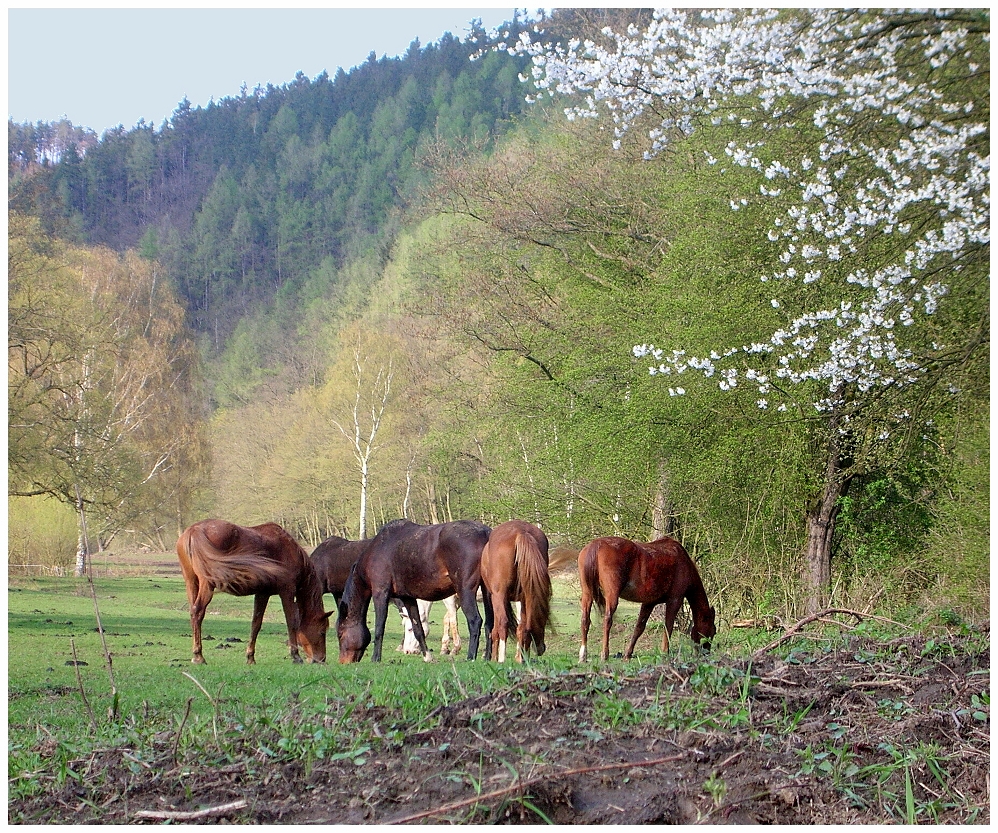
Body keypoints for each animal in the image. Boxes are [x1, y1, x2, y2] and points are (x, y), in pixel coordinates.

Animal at [177, 516, 332, 668]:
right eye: (322, 631)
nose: (321, 659)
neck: (290, 550)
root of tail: (194, 530)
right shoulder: (287, 592)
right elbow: (291, 622)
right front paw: (296, 656)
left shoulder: (262, 594)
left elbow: (256, 624)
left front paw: (250, 657)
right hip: (207, 584)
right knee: (198, 612)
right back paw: (199, 656)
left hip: (191, 582)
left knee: (193, 613)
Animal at [336, 520, 492, 664]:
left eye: (340, 634)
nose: (343, 662)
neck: (377, 550)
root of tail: (486, 533)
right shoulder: (408, 598)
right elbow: (418, 629)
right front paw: (427, 657)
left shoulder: (380, 593)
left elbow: (379, 628)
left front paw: (375, 658)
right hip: (488, 593)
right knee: (490, 623)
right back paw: (488, 657)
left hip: (465, 591)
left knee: (475, 621)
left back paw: (471, 657)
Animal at [478, 520, 552, 664]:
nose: (541, 648)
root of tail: (521, 532)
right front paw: (522, 658)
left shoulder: (496, 597)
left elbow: (495, 629)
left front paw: (494, 657)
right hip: (527, 596)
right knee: (525, 626)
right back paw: (523, 659)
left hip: (499, 595)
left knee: (503, 623)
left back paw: (501, 658)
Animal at [580, 536, 720, 660]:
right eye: (712, 631)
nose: (706, 653)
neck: (683, 562)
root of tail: (596, 545)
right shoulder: (675, 600)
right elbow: (668, 627)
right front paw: (665, 652)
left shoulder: (649, 603)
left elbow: (639, 627)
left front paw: (628, 654)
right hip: (612, 595)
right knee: (607, 620)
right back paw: (605, 654)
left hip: (587, 594)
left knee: (585, 620)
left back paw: (583, 655)